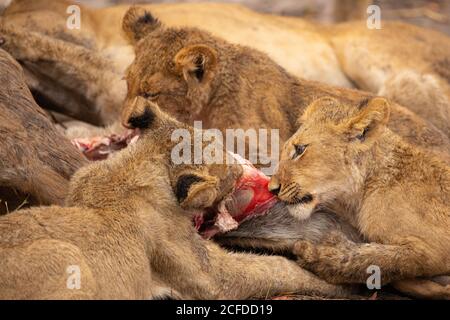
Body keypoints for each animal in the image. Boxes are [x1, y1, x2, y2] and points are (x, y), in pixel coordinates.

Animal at [0, 100, 348, 300]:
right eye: (228, 173)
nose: (240, 169)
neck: (129, 169)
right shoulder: (203, 270)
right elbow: (275, 269)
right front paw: (338, 284)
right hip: (63, 254)